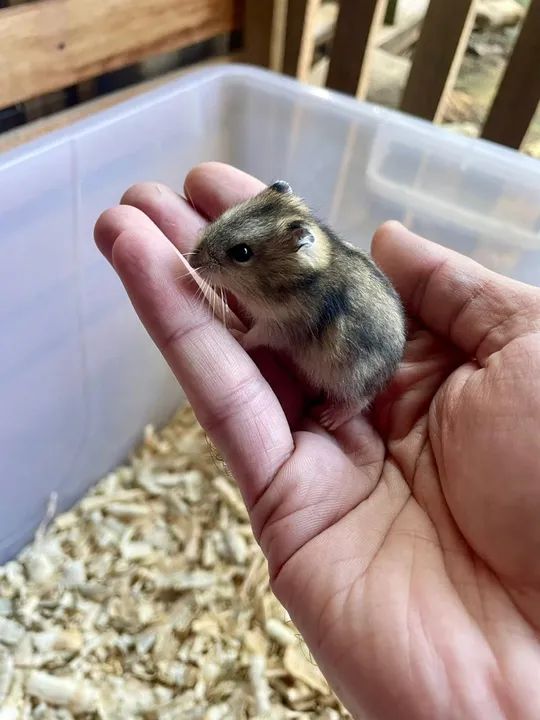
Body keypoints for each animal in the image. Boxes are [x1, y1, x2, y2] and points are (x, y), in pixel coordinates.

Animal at [190, 180, 406, 430]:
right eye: (225, 214)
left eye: (241, 253)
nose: (191, 261)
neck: (294, 279)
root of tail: (391, 372)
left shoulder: (280, 326)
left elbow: (254, 336)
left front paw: (234, 333)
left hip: (353, 377)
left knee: (359, 401)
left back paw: (329, 419)